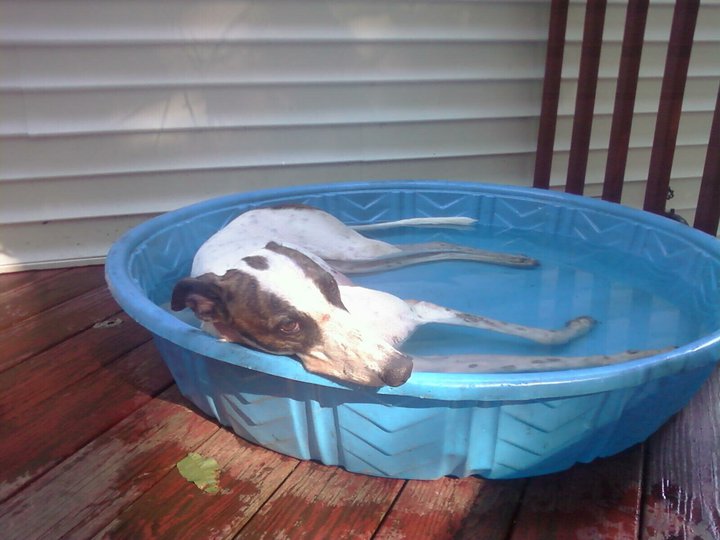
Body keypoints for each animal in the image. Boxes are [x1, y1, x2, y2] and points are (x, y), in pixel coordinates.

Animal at [172, 205, 668, 386]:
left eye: (328, 291)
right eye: (288, 325)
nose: (400, 371)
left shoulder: (418, 309)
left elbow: (541, 339)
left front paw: (654, 356)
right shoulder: (428, 362)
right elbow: (537, 361)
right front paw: (643, 355)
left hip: (354, 253)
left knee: (432, 242)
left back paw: (514, 257)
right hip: (362, 264)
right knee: (425, 249)